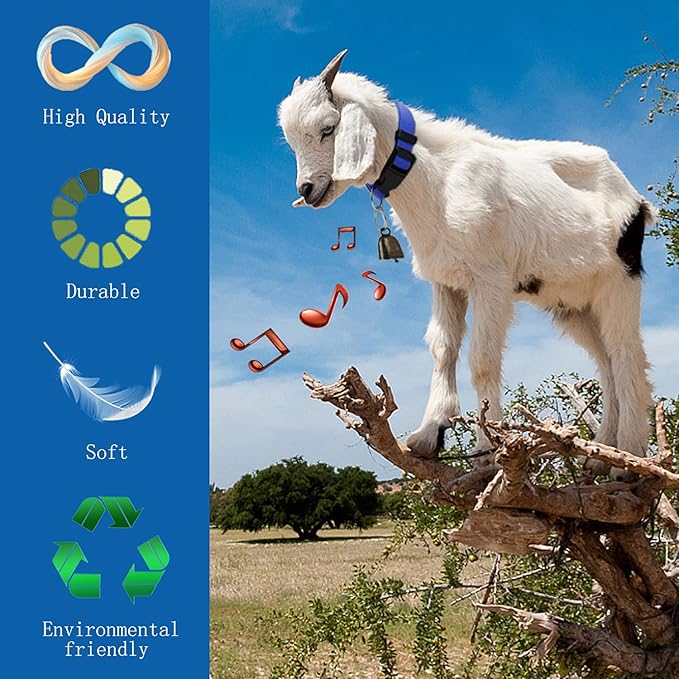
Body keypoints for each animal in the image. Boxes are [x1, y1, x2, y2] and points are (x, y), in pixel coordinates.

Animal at [278, 50, 654, 471]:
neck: (437, 181)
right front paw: (429, 434)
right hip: (573, 302)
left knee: (626, 355)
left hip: (620, 280)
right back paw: (603, 454)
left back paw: (628, 457)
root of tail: (636, 201)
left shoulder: (490, 280)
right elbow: (442, 348)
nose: (307, 190)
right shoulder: (446, 280)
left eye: (328, 128)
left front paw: (487, 448)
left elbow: (482, 359)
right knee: (606, 362)